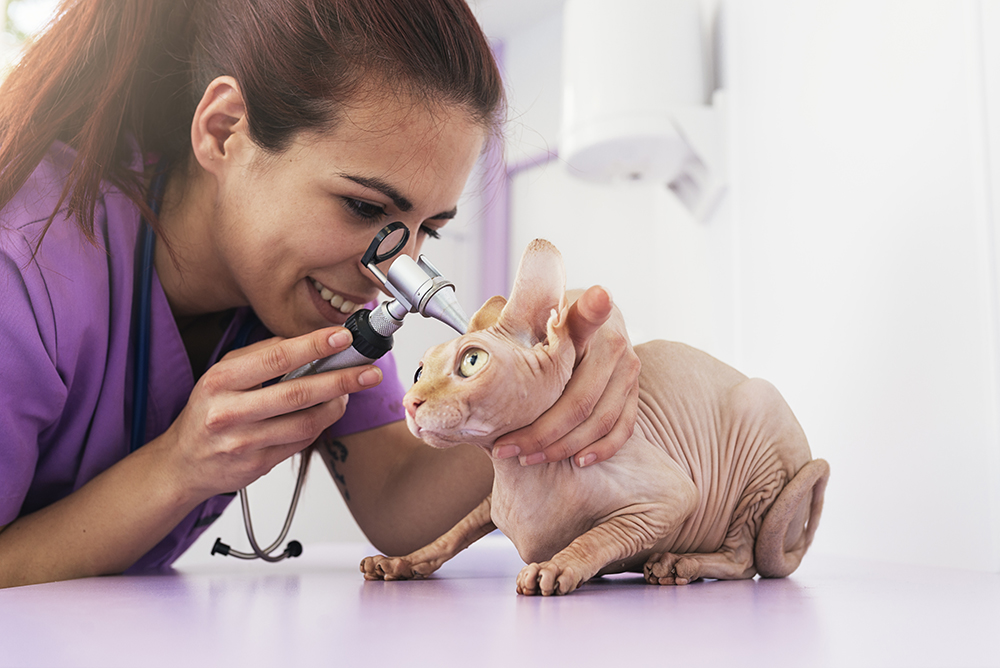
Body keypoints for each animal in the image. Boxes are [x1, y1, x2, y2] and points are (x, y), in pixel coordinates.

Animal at [360, 240, 828, 596]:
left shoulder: (670, 497)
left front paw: (557, 567)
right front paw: (403, 561)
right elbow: (452, 533)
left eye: (472, 362)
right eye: (418, 372)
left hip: (761, 431)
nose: (410, 403)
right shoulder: (491, 504)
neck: (515, 471)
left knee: (743, 559)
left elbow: (602, 535)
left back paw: (680, 564)